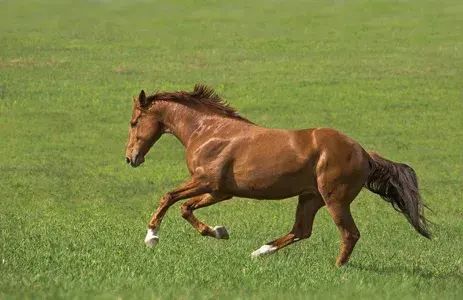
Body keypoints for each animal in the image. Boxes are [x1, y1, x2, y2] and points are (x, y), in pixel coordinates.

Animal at [124, 84, 432, 264]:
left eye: (133, 121)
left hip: (335, 200)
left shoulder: (205, 181)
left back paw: (337, 269)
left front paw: (151, 237)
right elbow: (186, 208)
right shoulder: (219, 191)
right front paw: (219, 232)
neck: (208, 132)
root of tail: (365, 154)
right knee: (301, 230)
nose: (130, 158)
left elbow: (168, 197)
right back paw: (260, 252)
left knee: (349, 234)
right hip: (310, 198)